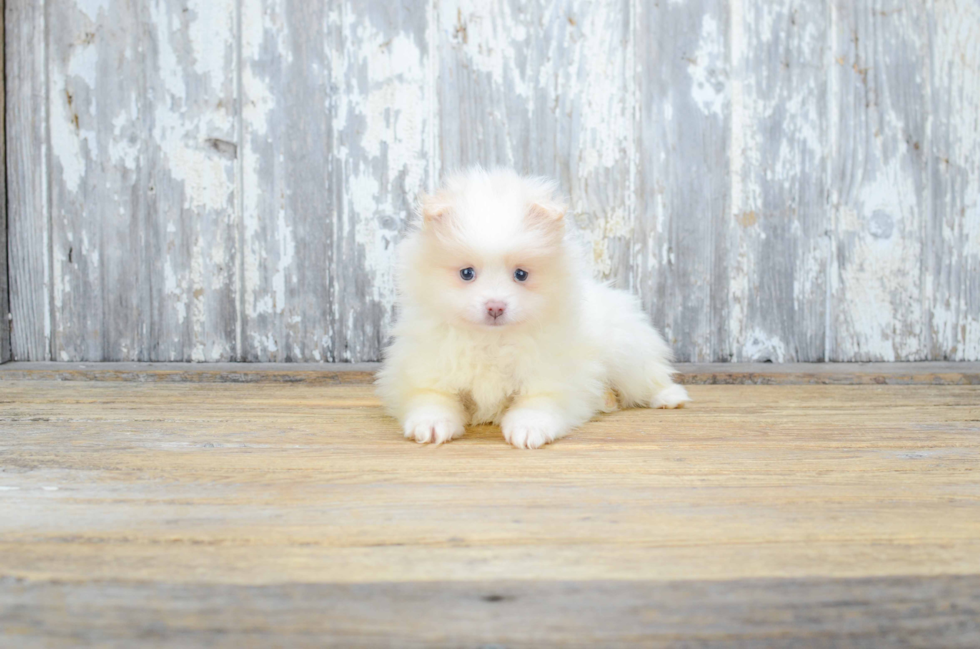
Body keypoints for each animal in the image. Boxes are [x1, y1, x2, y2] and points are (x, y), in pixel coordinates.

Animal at [376, 170, 688, 448]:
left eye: (521, 274)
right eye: (466, 273)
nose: (495, 306)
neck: (491, 341)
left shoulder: (551, 375)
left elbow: (537, 403)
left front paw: (528, 429)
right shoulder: (426, 370)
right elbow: (431, 397)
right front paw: (431, 424)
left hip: (627, 353)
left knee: (648, 378)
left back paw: (669, 397)